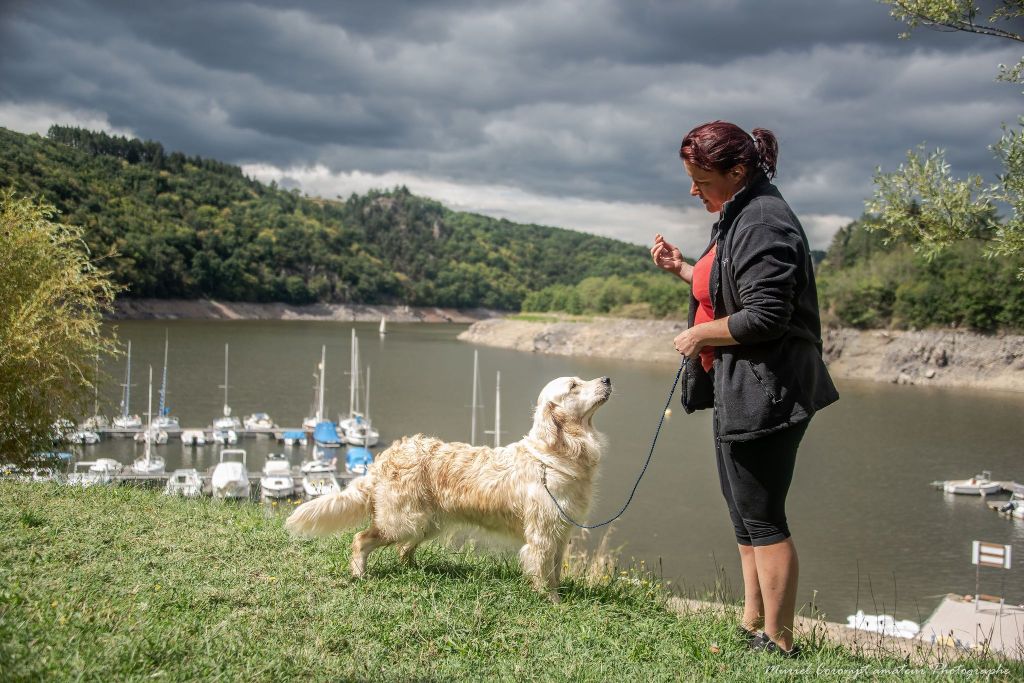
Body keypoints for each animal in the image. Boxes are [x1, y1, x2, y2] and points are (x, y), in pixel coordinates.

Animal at [284, 376, 610, 602]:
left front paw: (559, 597)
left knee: (403, 549)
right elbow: (544, 575)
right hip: (402, 520)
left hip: (425, 523)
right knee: (361, 539)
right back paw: (359, 572)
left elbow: (555, 572)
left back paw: (415, 570)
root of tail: (385, 456)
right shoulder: (542, 535)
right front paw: (552, 602)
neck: (557, 455)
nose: (607, 379)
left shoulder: (561, 532)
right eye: (573, 386)